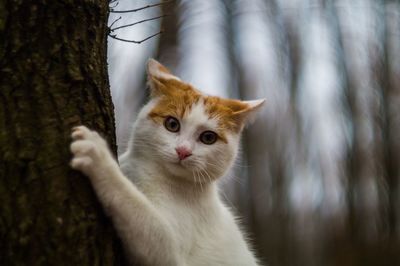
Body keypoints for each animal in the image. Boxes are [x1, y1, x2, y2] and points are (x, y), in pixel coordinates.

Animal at [70, 59, 264, 266]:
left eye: (208, 137)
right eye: (172, 124)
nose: (183, 151)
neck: (151, 172)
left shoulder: (173, 257)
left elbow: (136, 207)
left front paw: (98, 156)